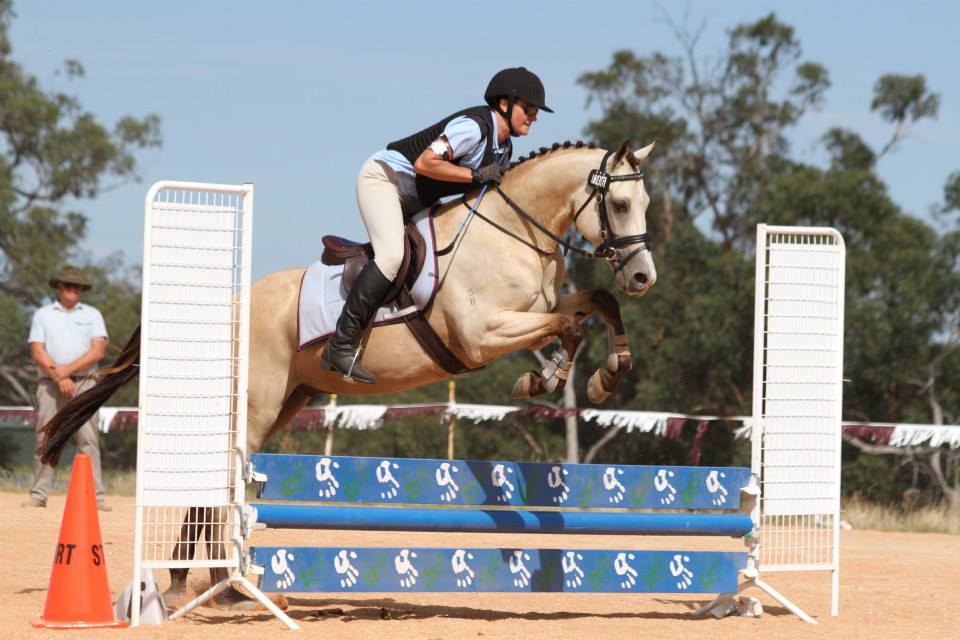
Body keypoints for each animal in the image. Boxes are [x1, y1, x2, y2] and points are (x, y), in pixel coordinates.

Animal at [38, 138, 657, 608]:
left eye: (646, 201)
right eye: (621, 204)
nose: (644, 277)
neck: (511, 230)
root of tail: (234, 301)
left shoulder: (539, 308)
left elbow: (595, 305)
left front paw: (604, 374)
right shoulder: (482, 334)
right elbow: (569, 328)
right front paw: (546, 379)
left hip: (284, 403)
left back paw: (204, 585)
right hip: (256, 406)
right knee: (222, 485)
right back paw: (222, 587)